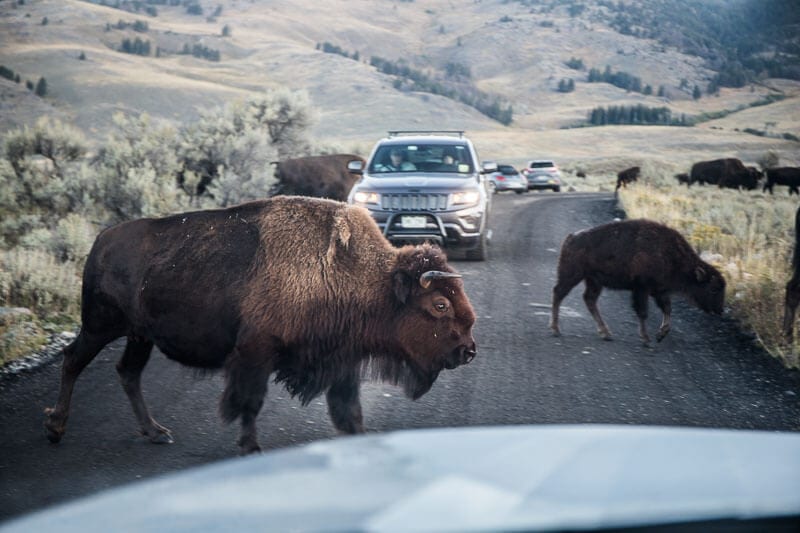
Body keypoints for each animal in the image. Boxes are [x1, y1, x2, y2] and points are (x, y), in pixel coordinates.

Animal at [43, 195, 478, 454]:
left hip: (139, 336)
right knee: (73, 360)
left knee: (127, 372)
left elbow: (349, 410)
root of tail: (101, 240)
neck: (357, 275)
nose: (468, 351)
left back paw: (156, 432)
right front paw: (251, 448)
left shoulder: (341, 359)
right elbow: (250, 402)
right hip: (100, 326)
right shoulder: (256, 353)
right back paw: (56, 429)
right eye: (440, 304)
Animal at [552, 219, 724, 344]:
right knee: (559, 293)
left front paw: (661, 335)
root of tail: (571, 237)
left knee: (589, 300)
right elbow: (643, 312)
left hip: (594, 281)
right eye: (713, 289)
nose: (720, 310)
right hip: (572, 275)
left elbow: (667, 309)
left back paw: (606, 333)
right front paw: (646, 338)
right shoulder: (642, 289)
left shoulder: (659, 292)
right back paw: (555, 329)